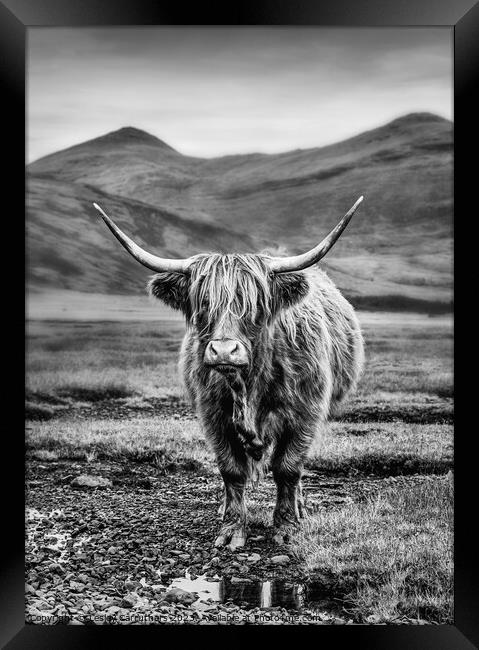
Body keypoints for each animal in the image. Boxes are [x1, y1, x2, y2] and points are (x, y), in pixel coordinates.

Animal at [94, 197, 366, 548]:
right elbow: (231, 470)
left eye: (255, 304)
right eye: (203, 302)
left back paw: (300, 507)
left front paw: (287, 527)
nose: (224, 351)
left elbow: (288, 468)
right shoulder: (214, 415)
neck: (248, 385)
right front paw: (232, 529)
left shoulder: (305, 413)